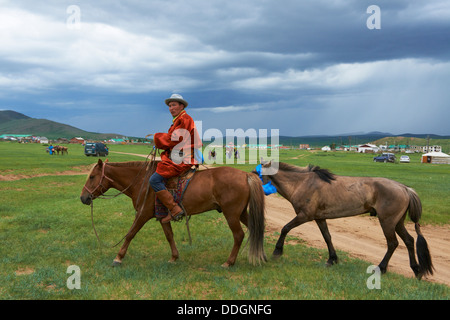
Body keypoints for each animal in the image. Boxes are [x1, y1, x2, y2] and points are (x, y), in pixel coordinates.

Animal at [80, 159, 268, 268]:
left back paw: (229, 262)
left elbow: (130, 234)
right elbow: (169, 236)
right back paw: (262, 255)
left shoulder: (142, 214)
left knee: (239, 235)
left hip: (231, 214)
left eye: (92, 177)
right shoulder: (162, 216)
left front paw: (118, 258)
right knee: (256, 229)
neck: (141, 181)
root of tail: (245, 175)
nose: (83, 198)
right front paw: (174, 257)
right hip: (241, 213)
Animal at [258, 161, 434, 278]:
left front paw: (277, 251)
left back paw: (381, 268)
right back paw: (416, 270)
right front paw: (332, 259)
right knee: (409, 241)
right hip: (398, 223)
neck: (302, 184)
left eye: (258, 173)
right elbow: (327, 237)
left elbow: (285, 228)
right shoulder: (319, 218)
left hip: (388, 222)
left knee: (393, 243)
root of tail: (405, 188)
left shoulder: (304, 216)